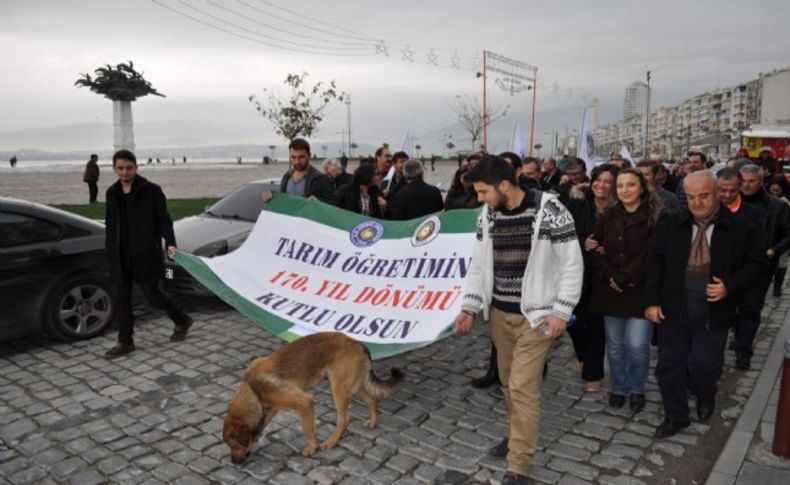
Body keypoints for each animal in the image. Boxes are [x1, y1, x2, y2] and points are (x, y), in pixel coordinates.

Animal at [223, 332, 408, 462]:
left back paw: (331, 442)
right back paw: (373, 422)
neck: (252, 388)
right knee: (372, 399)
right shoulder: (271, 408)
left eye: (233, 445)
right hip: (355, 385)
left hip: (339, 387)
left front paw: (312, 448)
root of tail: (356, 342)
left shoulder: (304, 402)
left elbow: (307, 428)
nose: (234, 463)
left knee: (345, 418)